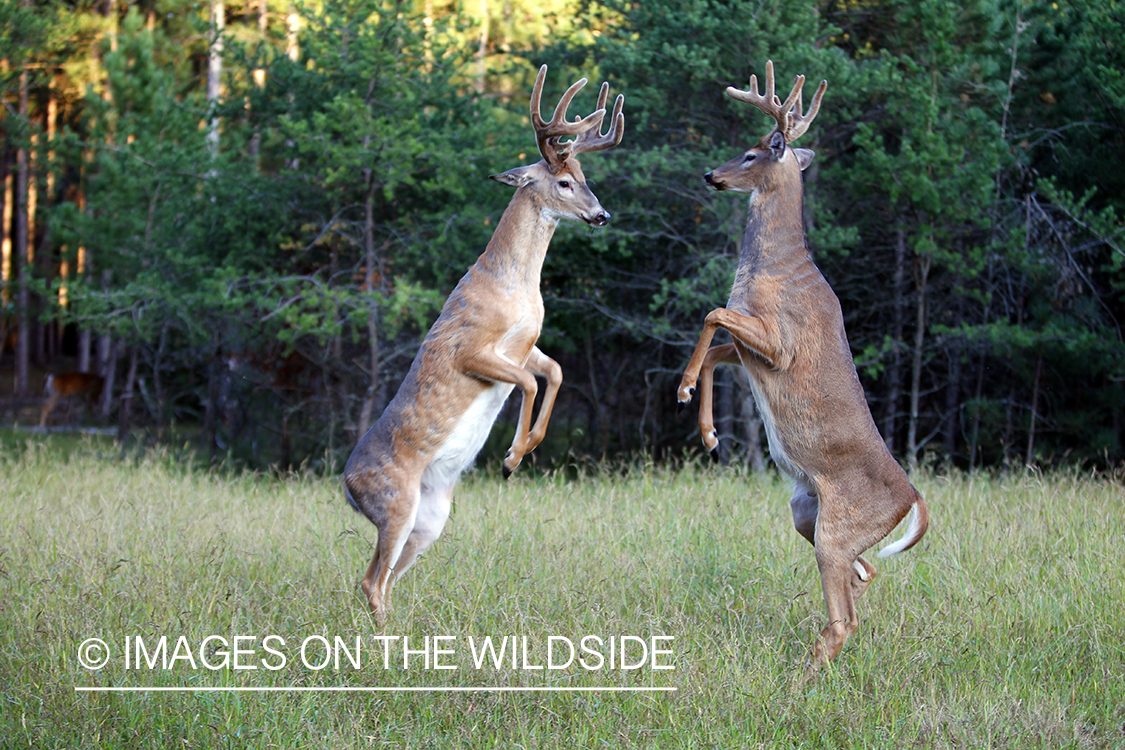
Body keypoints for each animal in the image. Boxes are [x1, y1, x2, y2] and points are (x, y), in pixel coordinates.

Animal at [342, 66, 625, 629]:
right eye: (564, 181)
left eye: (585, 176)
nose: (602, 214)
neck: (513, 286)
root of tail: (345, 486)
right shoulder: (472, 349)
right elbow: (529, 381)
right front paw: (512, 456)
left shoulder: (525, 344)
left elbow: (554, 372)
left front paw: (525, 451)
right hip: (394, 504)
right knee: (370, 580)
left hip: (430, 518)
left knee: (386, 579)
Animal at [675, 61, 931, 674]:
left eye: (752, 152)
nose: (709, 174)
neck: (770, 266)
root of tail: (913, 498)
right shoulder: (753, 347)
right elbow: (717, 346)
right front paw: (709, 431)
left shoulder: (780, 341)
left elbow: (711, 313)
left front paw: (684, 388)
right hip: (804, 513)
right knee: (867, 573)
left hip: (837, 527)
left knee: (844, 618)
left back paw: (802, 680)